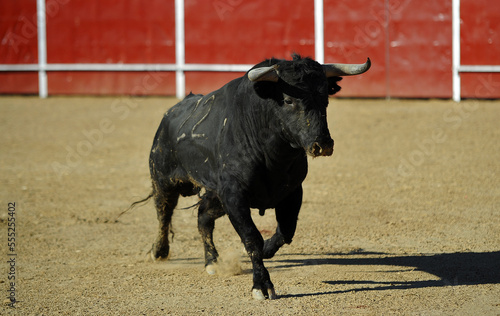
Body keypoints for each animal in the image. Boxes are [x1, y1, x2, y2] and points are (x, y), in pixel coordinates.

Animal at [143, 54, 370, 298]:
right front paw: (261, 285)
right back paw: (159, 251)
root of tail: (170, 113)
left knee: (203, 217)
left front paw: (267, 250)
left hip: (216, 196)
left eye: (325, 97)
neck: (273, 154)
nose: (322, 144)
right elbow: (252, 238)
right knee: (164, 212)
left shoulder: (292, 191)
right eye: (288, 100)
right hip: (163, 179)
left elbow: (285, 231)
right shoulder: (234, 196)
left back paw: (212, 261)